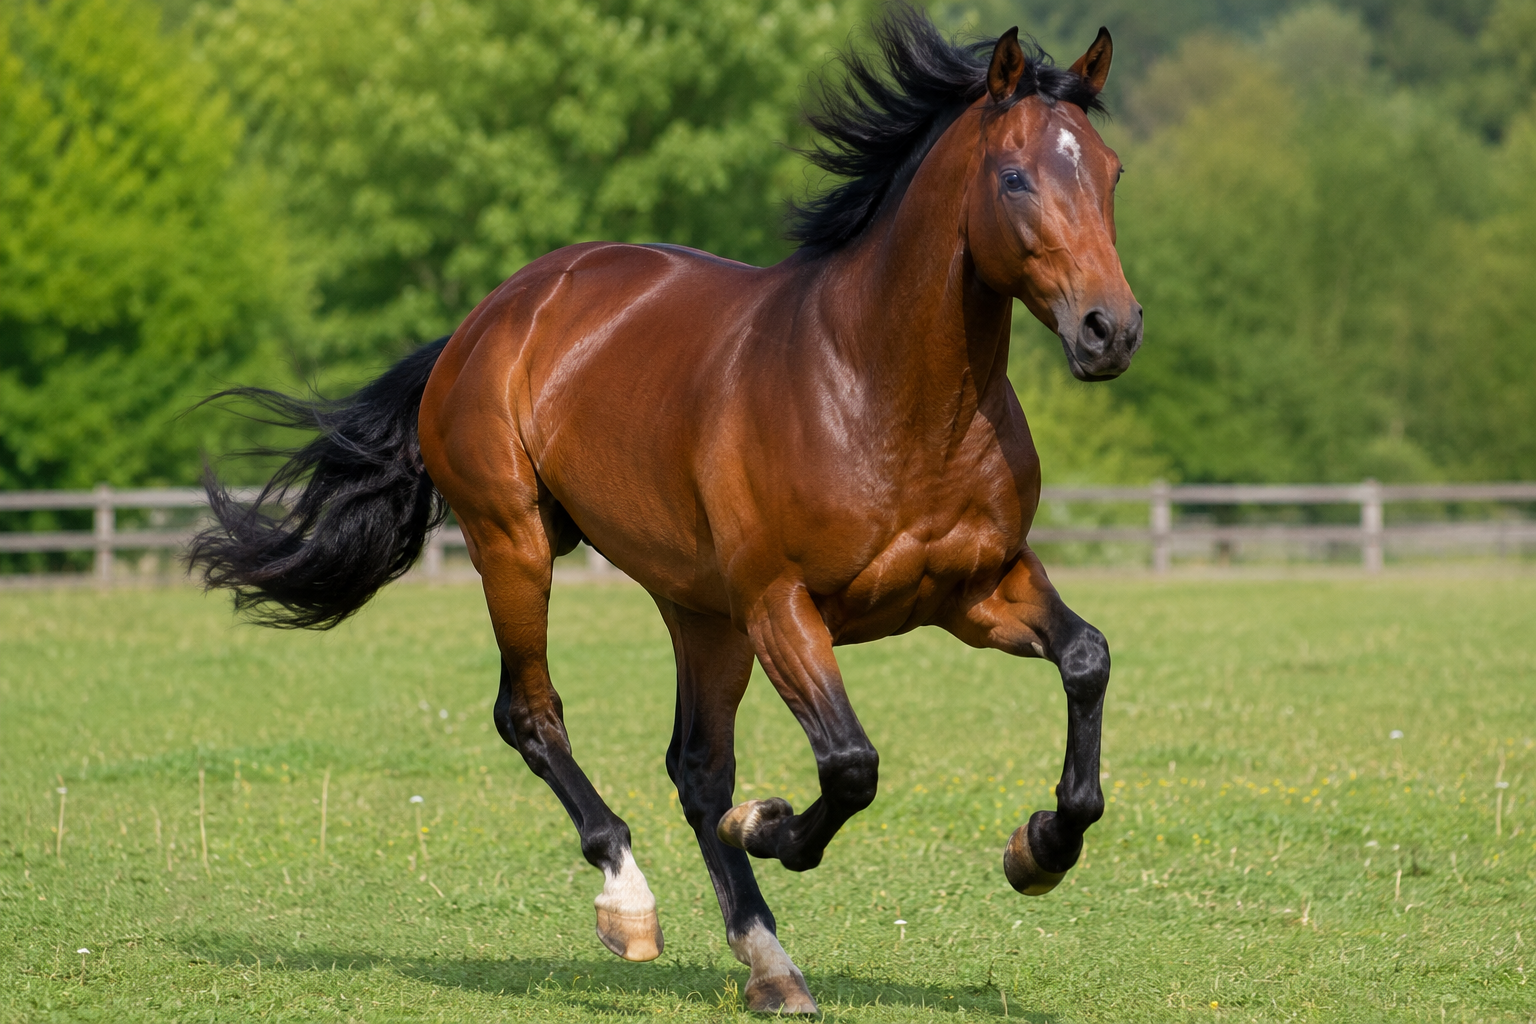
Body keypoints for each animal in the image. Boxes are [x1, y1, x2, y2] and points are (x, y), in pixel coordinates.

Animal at [192, 6, 1140, 1014]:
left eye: (1112, 170)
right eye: (1015, 176)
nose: (1110, 330)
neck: (883, 392)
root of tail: (490, 317)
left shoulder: (975, 588)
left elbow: (1086, 660)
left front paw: (1037, 850)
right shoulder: (781, 604)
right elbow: (849, 766)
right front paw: (768, 823)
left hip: (699, 610)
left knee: (693, 766)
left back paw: (770, 963)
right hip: (518, 546)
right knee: (532, 715)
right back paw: (630, 901)